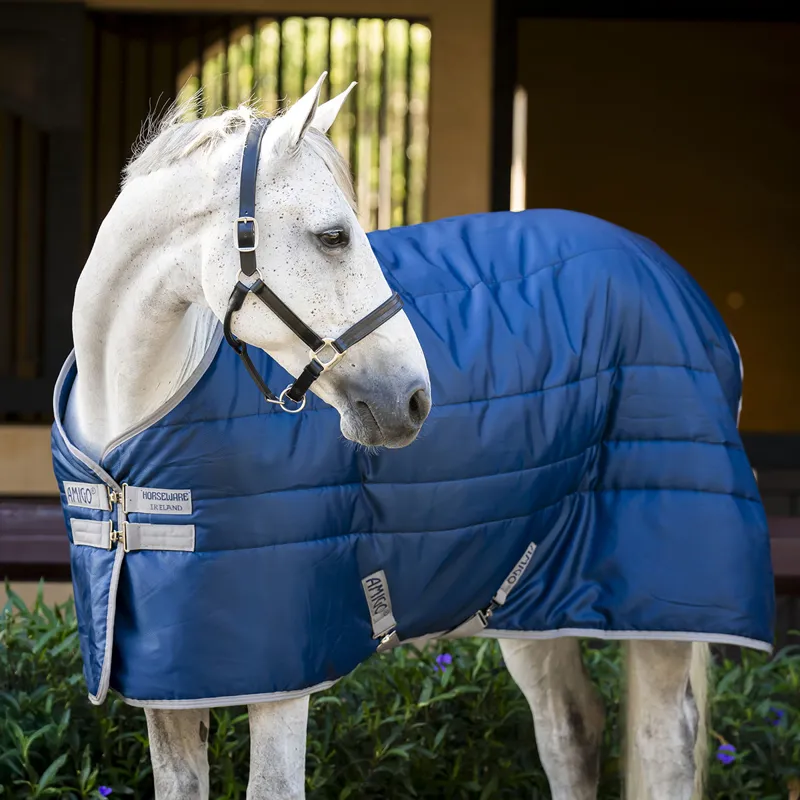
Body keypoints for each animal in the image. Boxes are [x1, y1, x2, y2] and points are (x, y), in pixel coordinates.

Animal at [54, 72, 769, 800]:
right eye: (334, 236)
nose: (414, 400)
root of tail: (679, 285)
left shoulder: (285, 673)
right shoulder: (168, 686)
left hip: (657, 609)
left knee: (663, 746)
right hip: (531, 594)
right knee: (572, 730)